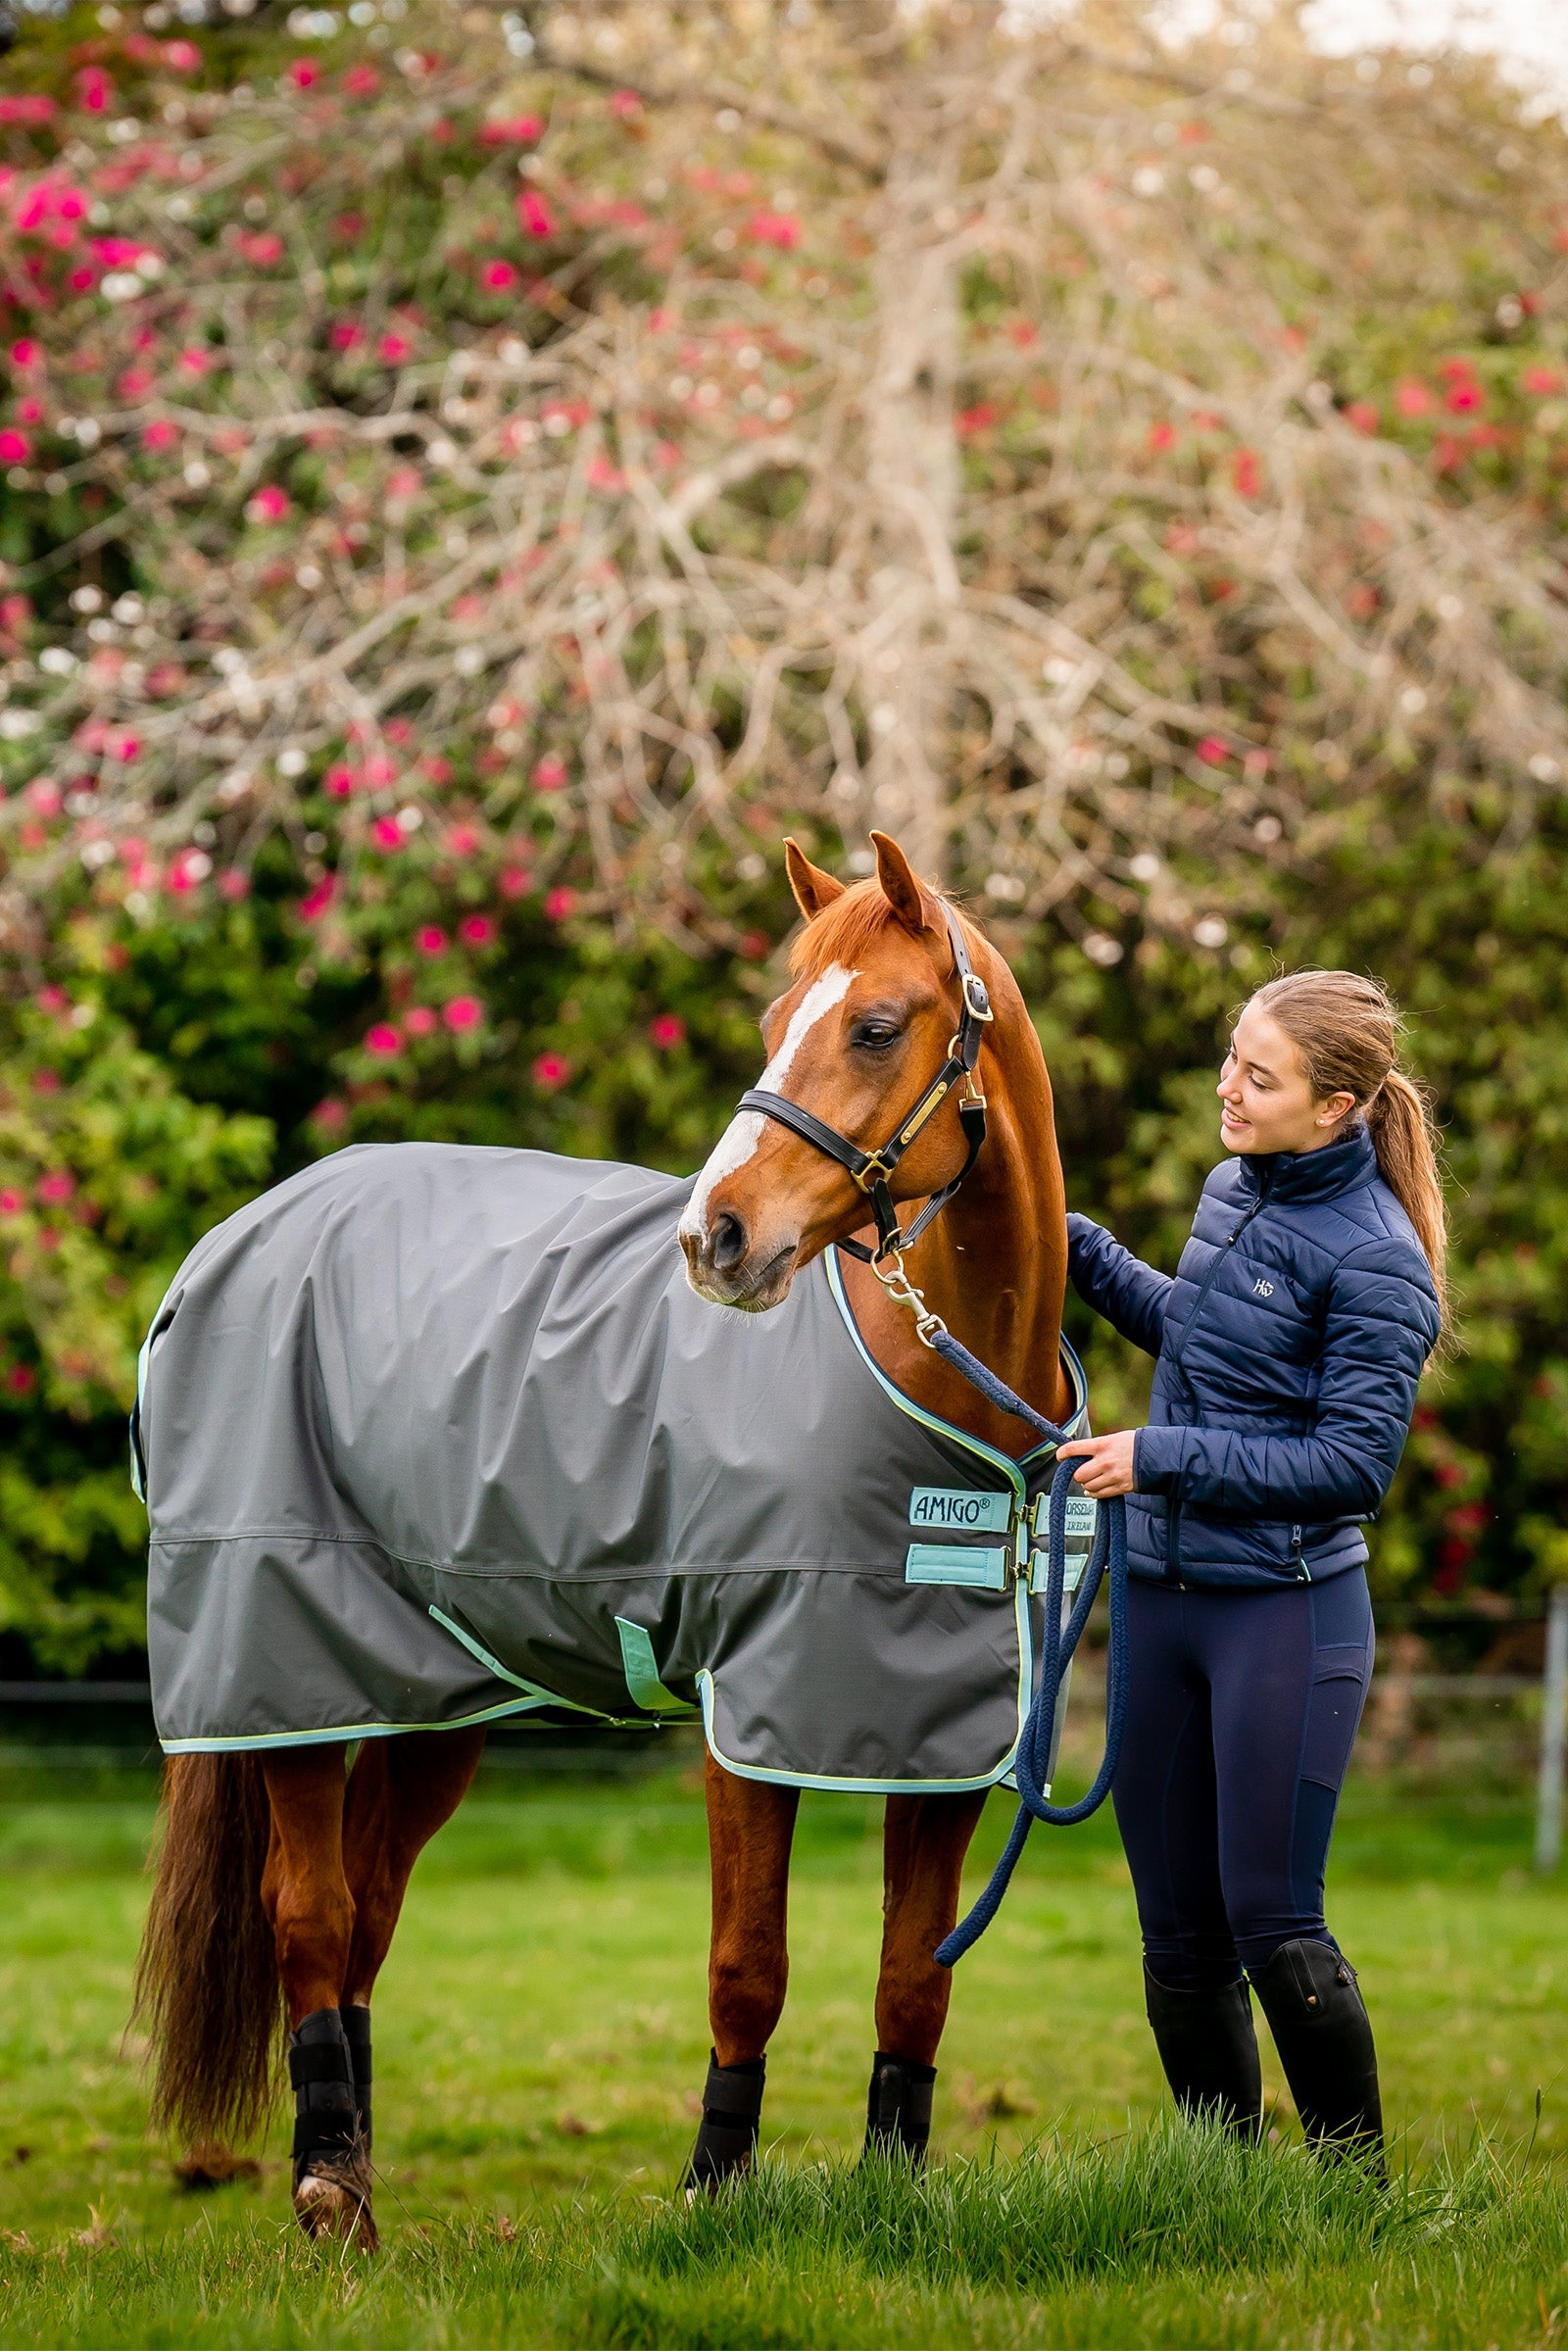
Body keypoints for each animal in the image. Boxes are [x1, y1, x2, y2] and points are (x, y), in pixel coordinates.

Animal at [131, 829, 1075, 2249]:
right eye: (774, 1019)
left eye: (875, 1024)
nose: (714, 1235)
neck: (934, 1381)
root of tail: (239, 1236)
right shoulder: (751, 1717)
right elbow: (748, 1967)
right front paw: (711, 2186)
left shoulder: (939, 1740)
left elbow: (912, 1979)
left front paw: (889, 2188)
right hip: (281, 1669)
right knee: (310, 1916)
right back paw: (329, 2195)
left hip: (428, 1698)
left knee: (365, 1921)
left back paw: (354, 2169)